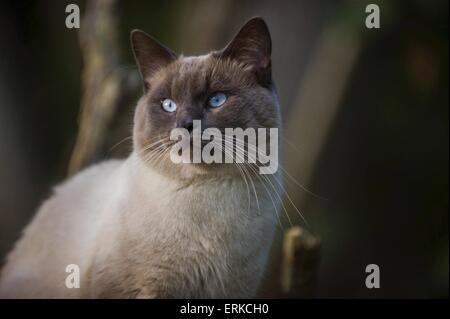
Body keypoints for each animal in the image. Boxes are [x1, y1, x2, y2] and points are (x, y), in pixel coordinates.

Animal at [0, 16, 282, 298]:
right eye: (168, 105)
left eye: (217, 100)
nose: (185, 124)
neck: (207, 197)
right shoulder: (133, 288)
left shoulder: (234, 291)